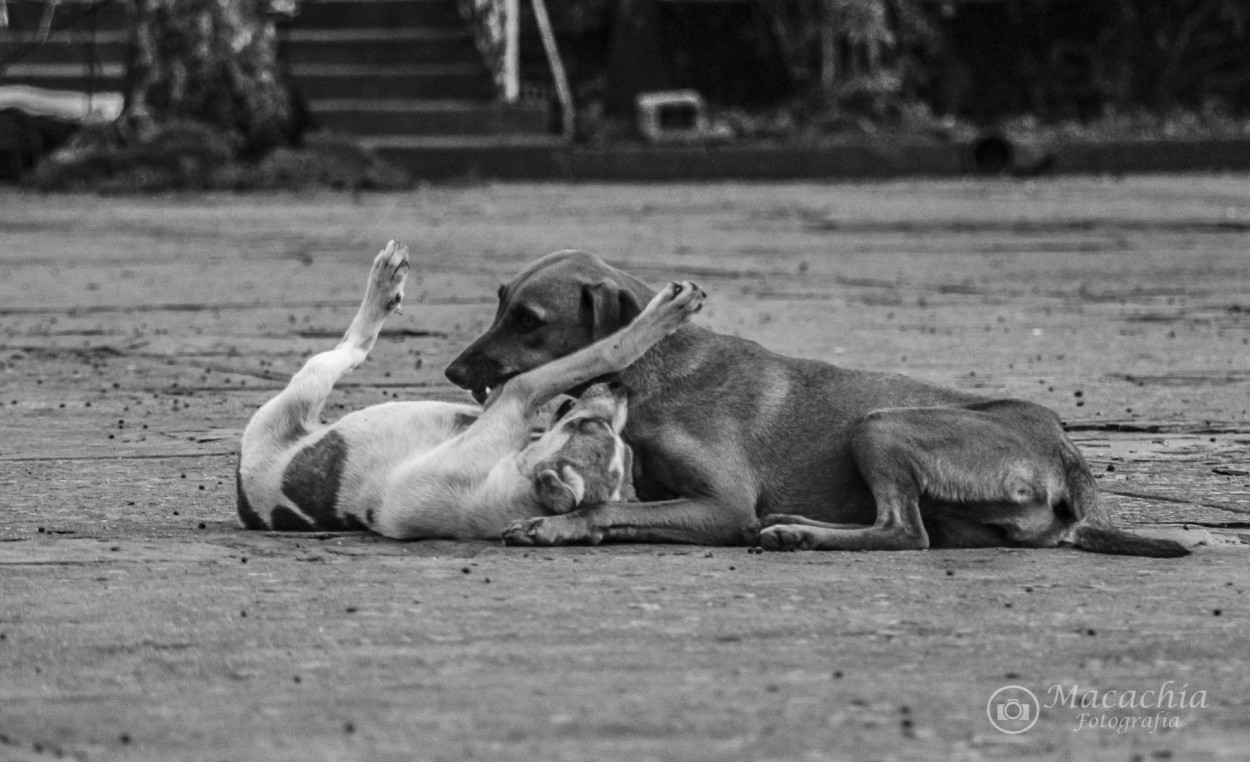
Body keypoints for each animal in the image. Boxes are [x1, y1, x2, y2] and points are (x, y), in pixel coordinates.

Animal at [235, 239, 705, 537]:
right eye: (590, 427)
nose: (619, 390)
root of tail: (243, 494)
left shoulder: (516, 395)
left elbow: (607, 349)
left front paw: (660, 319)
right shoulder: (508, 400)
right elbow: (597, 352)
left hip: (300, 392)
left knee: (351, 348)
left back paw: (384, 286)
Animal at [445, 252, 1185, 554]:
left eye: (529, 320)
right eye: (500, 302)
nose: (452, 371)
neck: (657, 371)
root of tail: (1065, 450)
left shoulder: (723, 506)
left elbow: (604, 510)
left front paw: (557, 527)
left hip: (880, 424)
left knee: (905, 532)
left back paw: (799, 533)